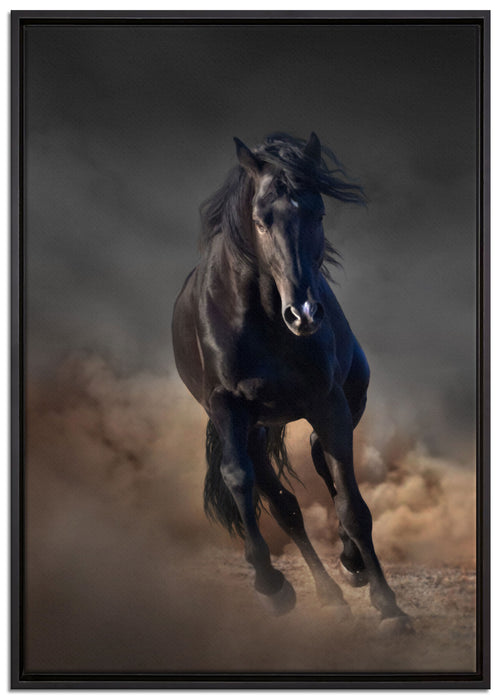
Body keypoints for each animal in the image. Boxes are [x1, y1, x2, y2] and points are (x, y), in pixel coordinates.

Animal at [172, 132, 411, 633]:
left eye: (317, 213)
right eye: (261, 220)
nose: (303, 314)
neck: (262, 318)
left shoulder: (329, 402)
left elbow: (353, 506)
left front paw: (389, 605)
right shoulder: (226, 407)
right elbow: (240, 480)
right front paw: (270, 585)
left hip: (341, 403)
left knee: (322, 462)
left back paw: (352, 569)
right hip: (255, 429)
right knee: (284, 505)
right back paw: (327, 595)